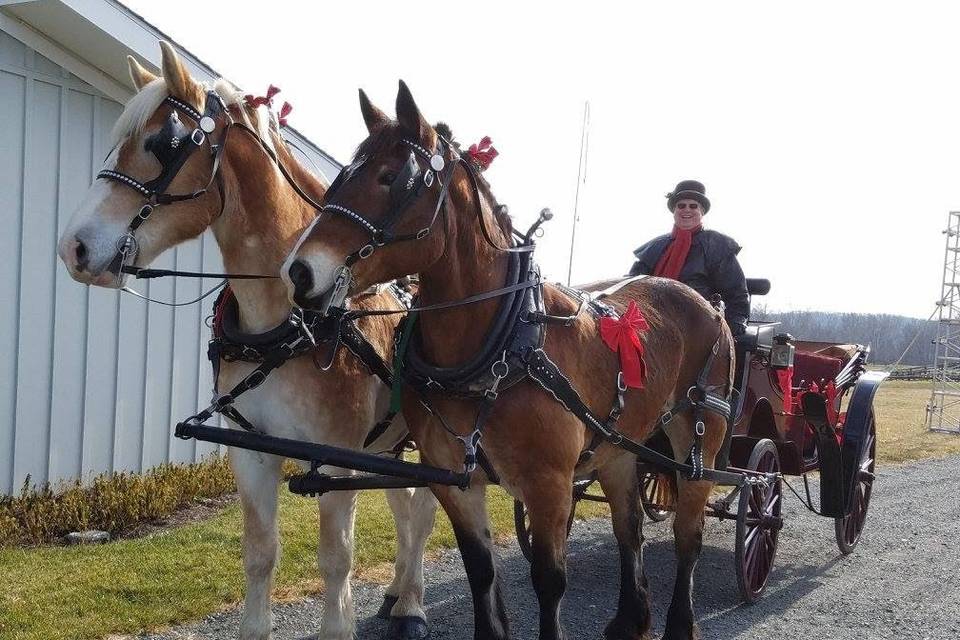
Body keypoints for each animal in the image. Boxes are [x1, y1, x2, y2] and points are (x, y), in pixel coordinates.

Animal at [54, 43, 436, 640]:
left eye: (161, 144)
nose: (75, 248)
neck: (289, 321)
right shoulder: (251, 451)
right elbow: (259, 553)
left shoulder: (336, 459)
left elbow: (337, 559)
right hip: (389, 445)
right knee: (405, 505)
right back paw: (399, 592)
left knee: (421, 511)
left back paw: (413, 605)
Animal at [284, 81, 736, 640]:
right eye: (343, 175)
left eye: (390, 178)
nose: (298, 272)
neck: (499, 346)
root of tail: (705, 303)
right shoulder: (452, 477)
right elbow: (481, 572)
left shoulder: (548, 485)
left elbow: (549, 580)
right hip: (618, 446)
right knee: (628, 528)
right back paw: (631, 618)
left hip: (699, 442)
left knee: (687, 537)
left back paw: (678, 622)